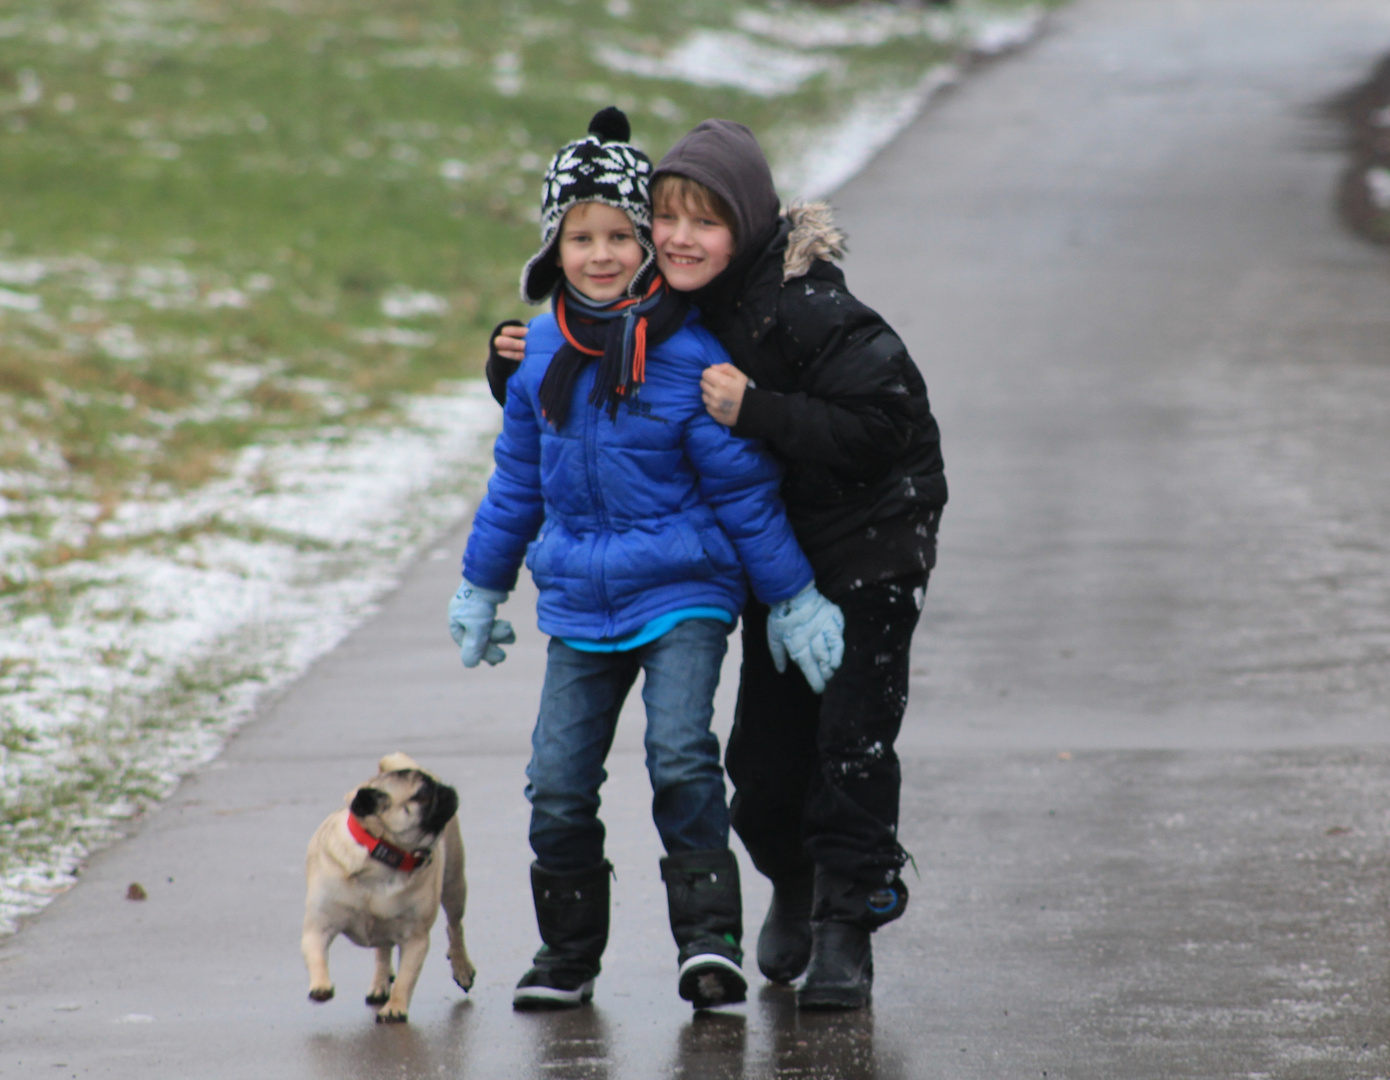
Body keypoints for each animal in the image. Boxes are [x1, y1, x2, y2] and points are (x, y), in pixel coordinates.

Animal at [300, 750, 478, 1017]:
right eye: (422, 795)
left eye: (432, 789)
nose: (445, 788)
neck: (383, 855)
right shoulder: (318, 927)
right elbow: (317, 955)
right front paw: (321, 986)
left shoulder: (415, 938)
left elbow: (406, 977)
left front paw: (395, 1008)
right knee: (383, 950)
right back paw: (379, 984)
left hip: (454, 886)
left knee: (454, 927)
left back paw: (461, 967)